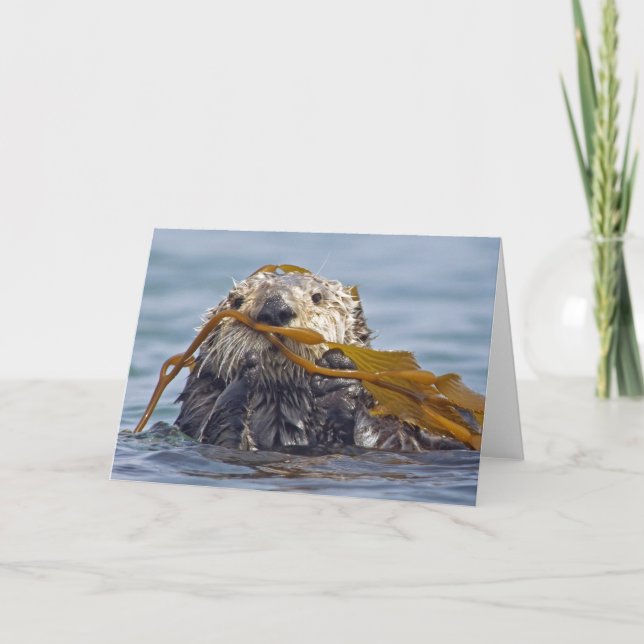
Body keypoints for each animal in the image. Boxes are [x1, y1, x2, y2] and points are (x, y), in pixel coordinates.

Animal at [170, 268, 467, 452]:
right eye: (237, 301)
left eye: (317, 297)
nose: (275, 308)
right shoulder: (198, 417)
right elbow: (222, 437)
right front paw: (244, 375)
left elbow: (395, 439)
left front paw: (338, 378)